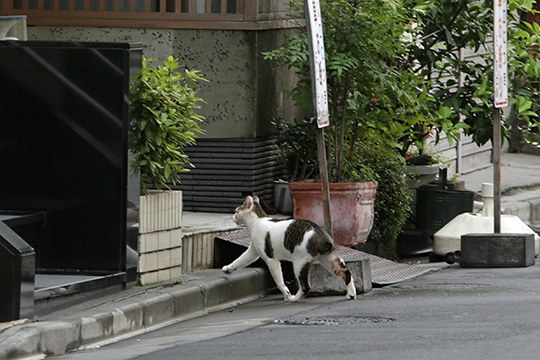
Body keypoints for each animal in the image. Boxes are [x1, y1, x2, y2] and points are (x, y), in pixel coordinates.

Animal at [221, 195, 356, 302]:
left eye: (236, 211)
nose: (232, 217)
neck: (257, 221)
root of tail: (321, 235)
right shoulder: (252, 252)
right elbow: (240, 260)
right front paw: (228, 269)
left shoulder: (271, 259)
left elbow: (279, 280)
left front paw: (286, 294)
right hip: (328, 259)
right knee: (346, 272)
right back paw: (351, 294)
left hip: (299, 263)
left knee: (306, 286)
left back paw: (294, 298)